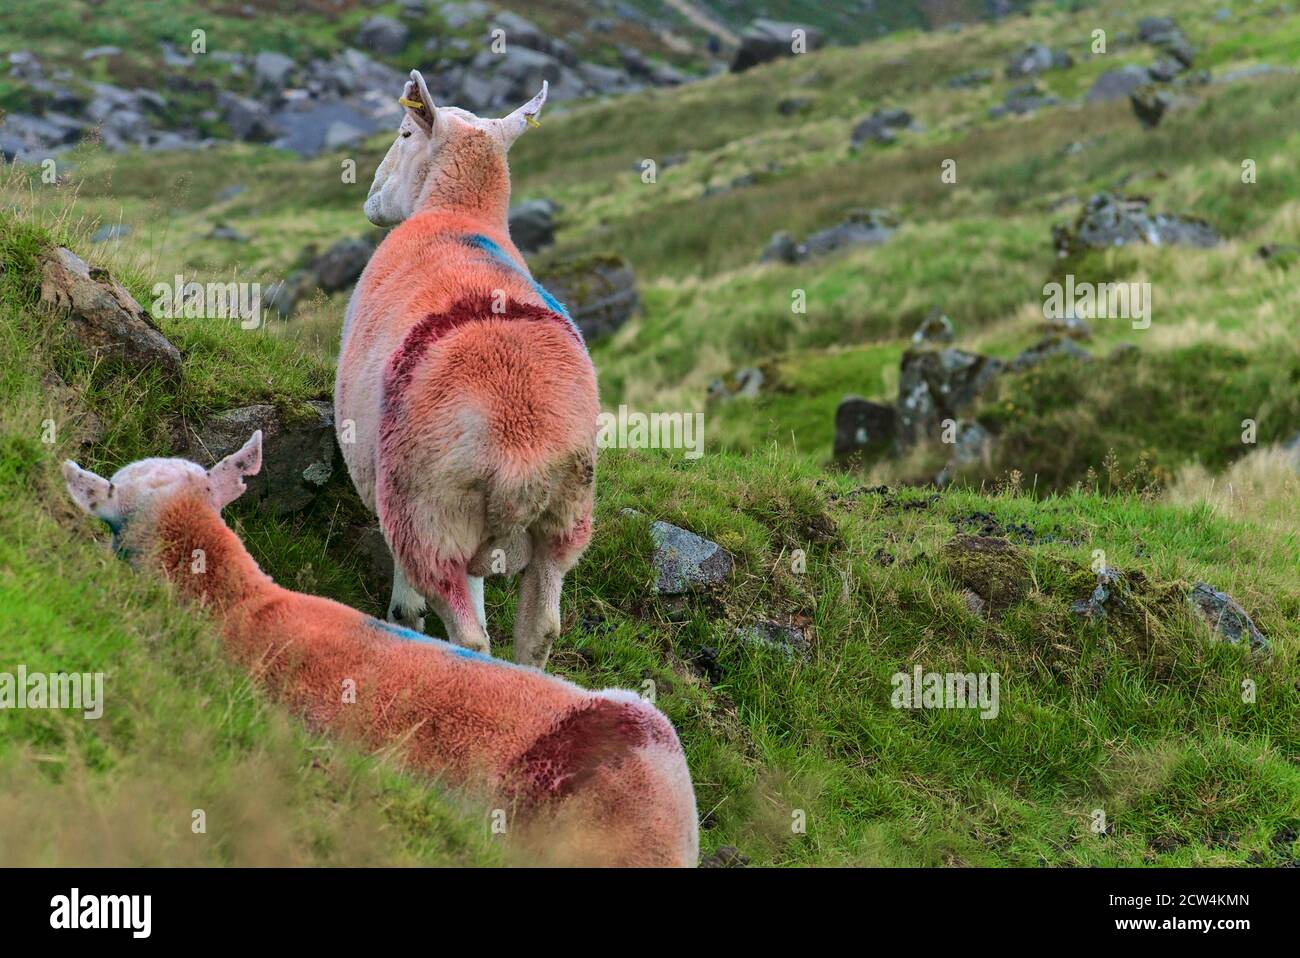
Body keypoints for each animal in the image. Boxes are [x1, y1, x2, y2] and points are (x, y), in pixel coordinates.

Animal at [336, 70, 599, 670]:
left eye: (404, 133)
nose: (371, 198)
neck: (460, 214)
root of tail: (521, 455)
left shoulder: (397, 497)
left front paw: (403, 612)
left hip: (430, 515)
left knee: (470, 634)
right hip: (565, 522)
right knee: (540, 629)